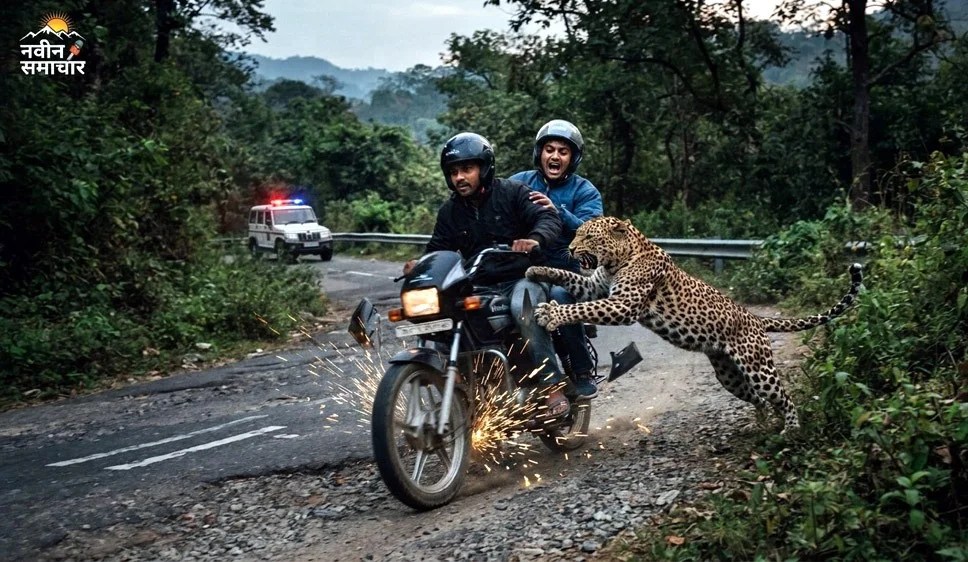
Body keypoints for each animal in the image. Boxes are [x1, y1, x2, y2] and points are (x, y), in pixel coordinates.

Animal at [526, 216, 863, 434]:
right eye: (577, 235)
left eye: (588, 237)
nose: (570, 249)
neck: (615, 261)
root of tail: (755, 318)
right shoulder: (594, 286)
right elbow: (570, 279)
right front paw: (536, 269)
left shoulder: (622, 305)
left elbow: (582, 307)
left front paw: (551, 314)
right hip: (729, 375)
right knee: (761, 400)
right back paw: (762, 426)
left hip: (758, 368)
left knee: (783, 397)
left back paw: (790, 431)